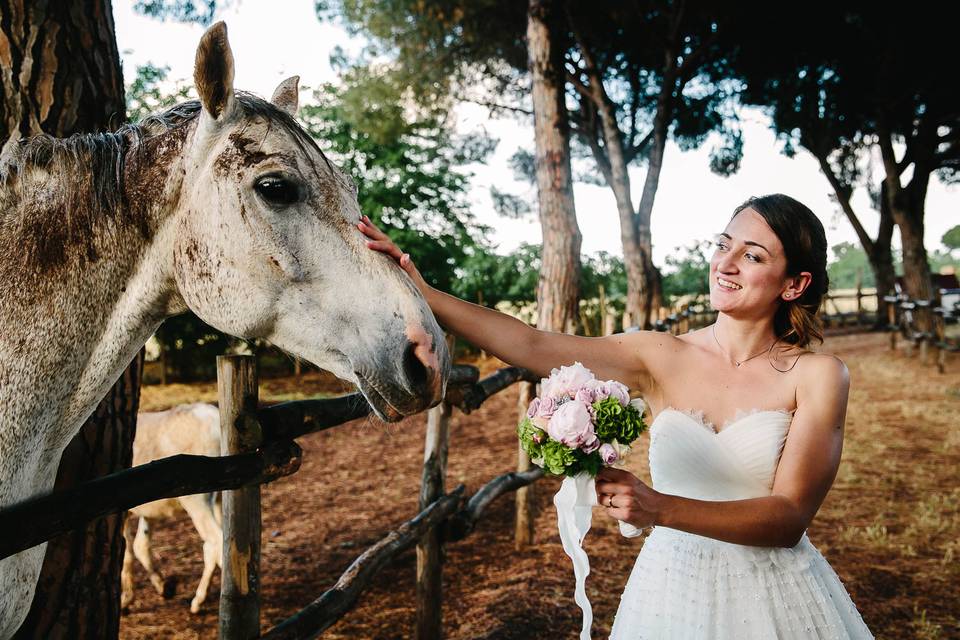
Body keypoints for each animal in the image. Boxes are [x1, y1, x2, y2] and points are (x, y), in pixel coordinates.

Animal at [119, 402, 222, 612]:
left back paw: (202, 600)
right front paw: (164, 588)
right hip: (221, 498)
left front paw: (125, 600)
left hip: (197, 500)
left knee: (215, 542)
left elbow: (127, 552)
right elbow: (141, 545)